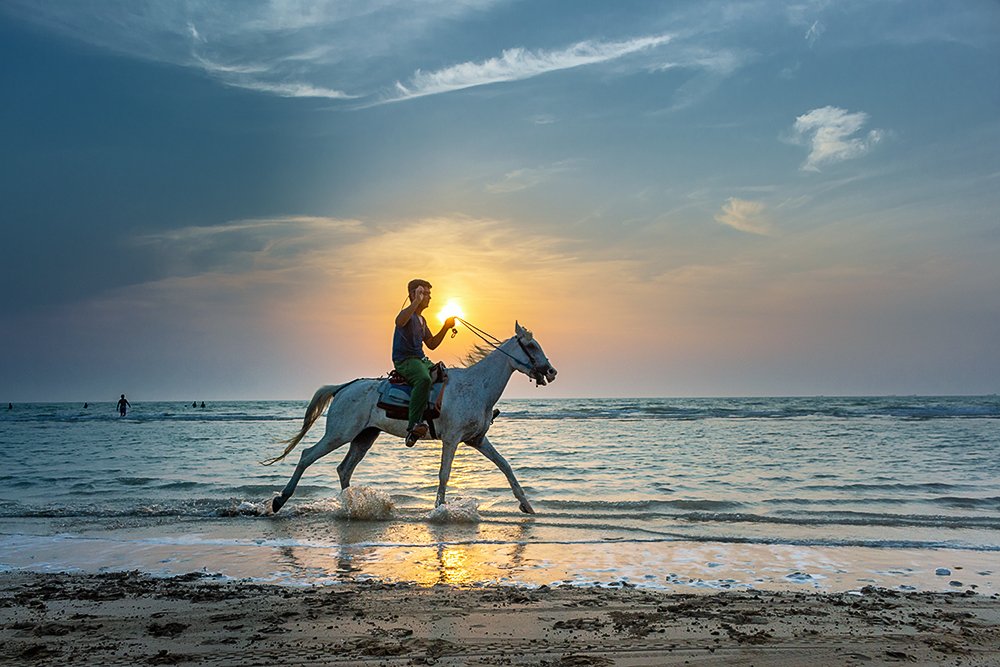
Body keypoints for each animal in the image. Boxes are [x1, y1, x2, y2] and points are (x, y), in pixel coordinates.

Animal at [265, 322, 557, 514]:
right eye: (531, 345)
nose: (551, 371)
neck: (476, 386)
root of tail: (344, 387)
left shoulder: (476, 440)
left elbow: (505, 467)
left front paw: (527, 506)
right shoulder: (452, 440)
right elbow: (444, 474)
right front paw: (439, 510)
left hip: (364, 437)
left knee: (344, 469)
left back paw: (351, 505)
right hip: (339, 434)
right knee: (307, 456)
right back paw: (280, 501)